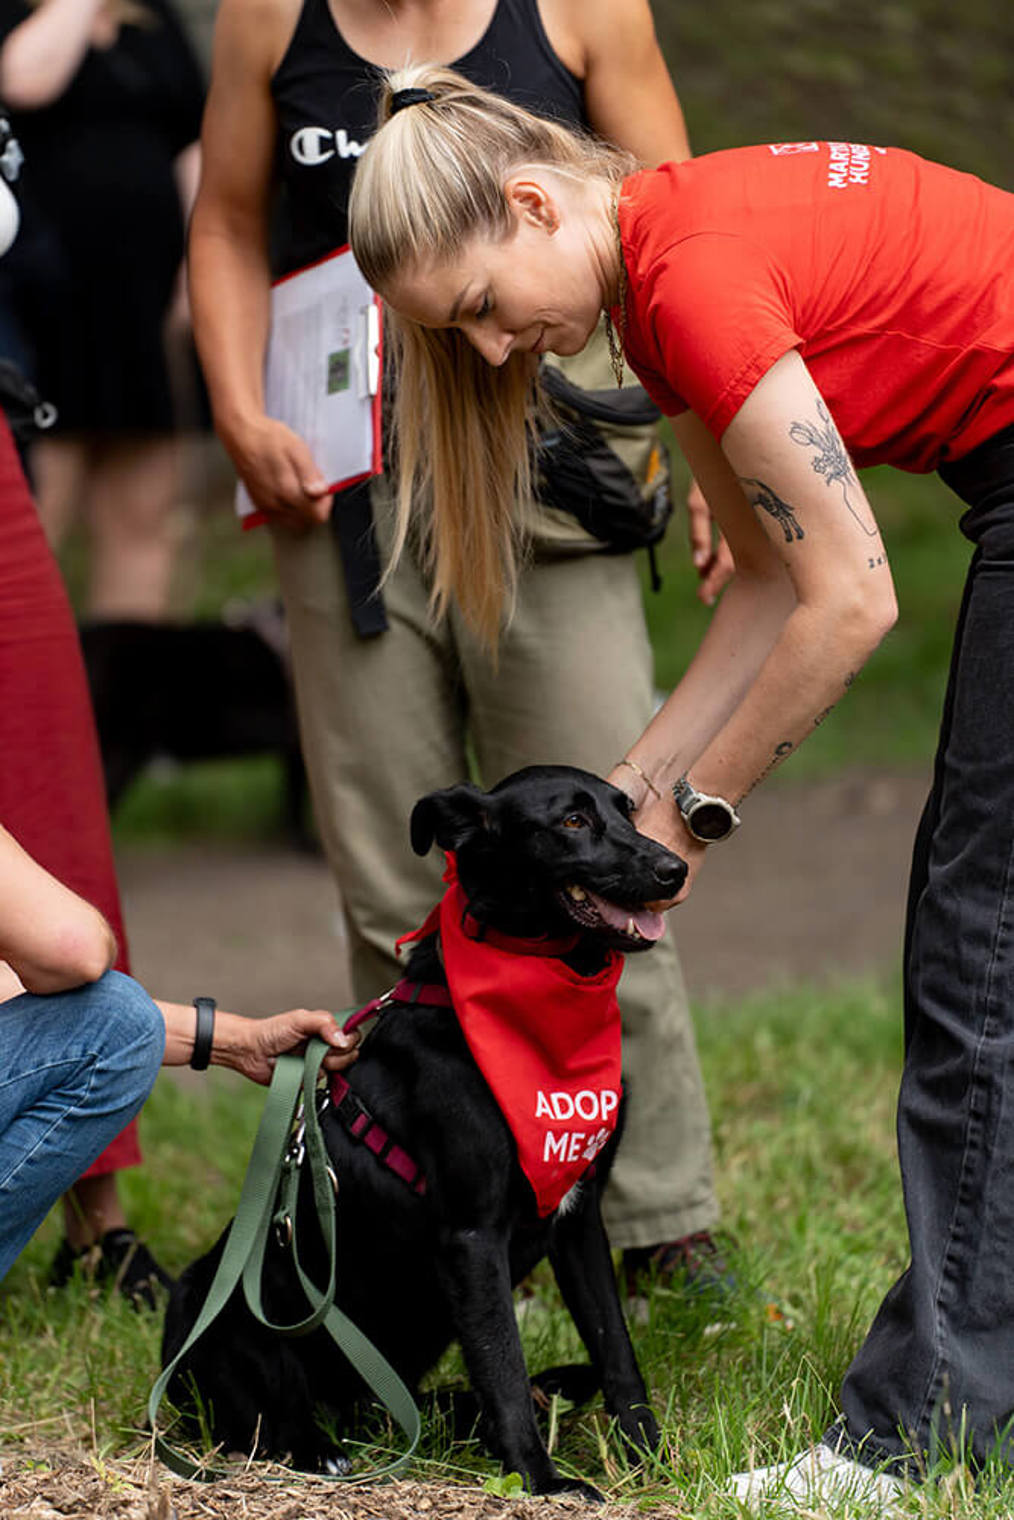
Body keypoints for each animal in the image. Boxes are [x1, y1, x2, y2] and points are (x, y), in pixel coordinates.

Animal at [164, 766, 690, 1489]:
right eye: (572, 821)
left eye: (626, 811)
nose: (675, 869)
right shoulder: (473, 1239)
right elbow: (503, 1363)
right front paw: (542, 1480)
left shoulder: (580, 1219)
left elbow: (616, 1350)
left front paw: (649, 1457)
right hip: (218, 1311)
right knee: (267, 1418)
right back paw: (319, 1448)